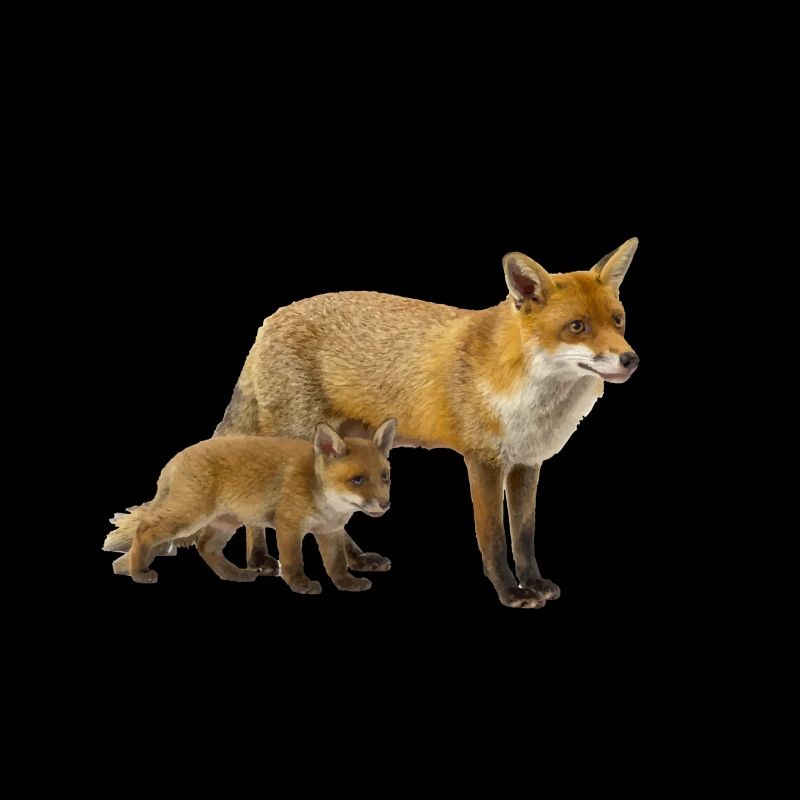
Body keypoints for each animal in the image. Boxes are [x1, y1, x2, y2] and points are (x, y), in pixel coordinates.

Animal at [103, 419, 397, 593]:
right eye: (357, 480)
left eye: (385, 477)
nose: (385, 504)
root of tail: (174, 459)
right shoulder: (288, 527)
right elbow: (293, 561)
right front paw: (300, 584)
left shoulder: (329, 531)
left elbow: (337, 564)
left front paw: (347, 584)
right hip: (188, 517)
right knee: (144, 530)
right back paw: (139, 572)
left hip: (225, 522)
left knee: (206, 547)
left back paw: (235, 575)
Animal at [206, 238, 640, 609]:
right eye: (578, 327)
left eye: (618, 321)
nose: (630, 359)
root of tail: (270, 319)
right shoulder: (483, 460)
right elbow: (494, 538)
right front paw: (511, 592)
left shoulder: (526, 462)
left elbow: (524, 535)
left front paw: (532, 582)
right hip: (298, 439)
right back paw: (261, 560)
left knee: (333, 518)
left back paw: (353, 560)